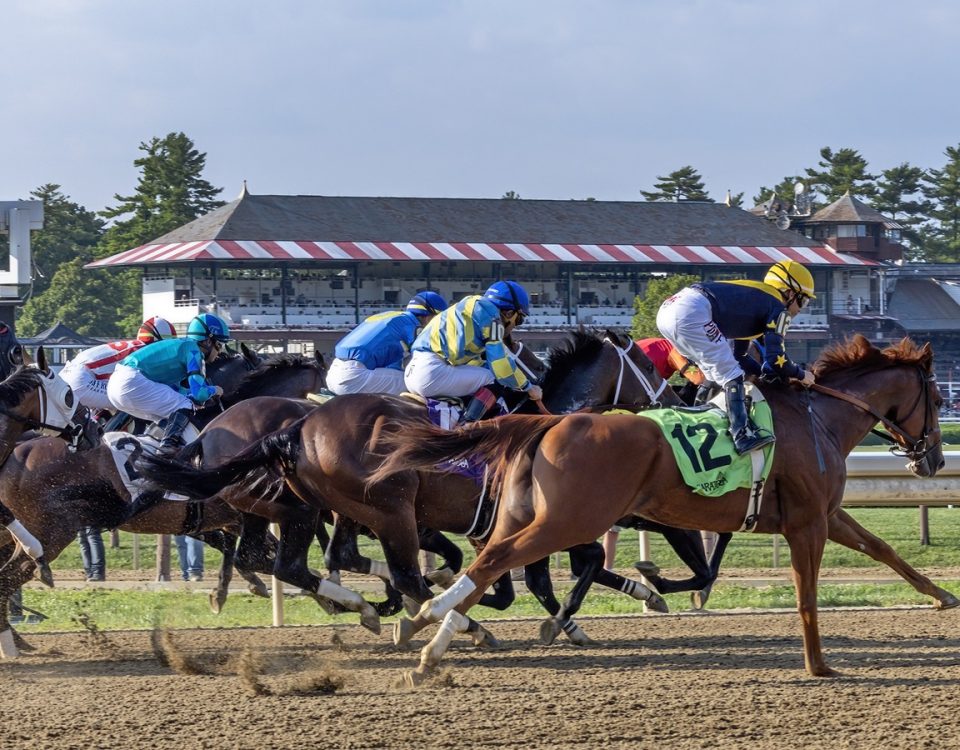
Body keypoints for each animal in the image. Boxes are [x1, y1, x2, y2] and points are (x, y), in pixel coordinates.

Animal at [366, 338, 944, 684]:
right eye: (938, 399)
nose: (935, 459)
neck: (818, 418)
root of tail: (551, 421)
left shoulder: (826, 514)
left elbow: (883, 549)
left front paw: (943, 596)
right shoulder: (807, 522)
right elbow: (803, 595)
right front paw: (819, 665)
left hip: (523, 516)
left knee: (488, 567)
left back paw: (429, 633)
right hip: (567, 520)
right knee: (492, 565)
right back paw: (426, 625)